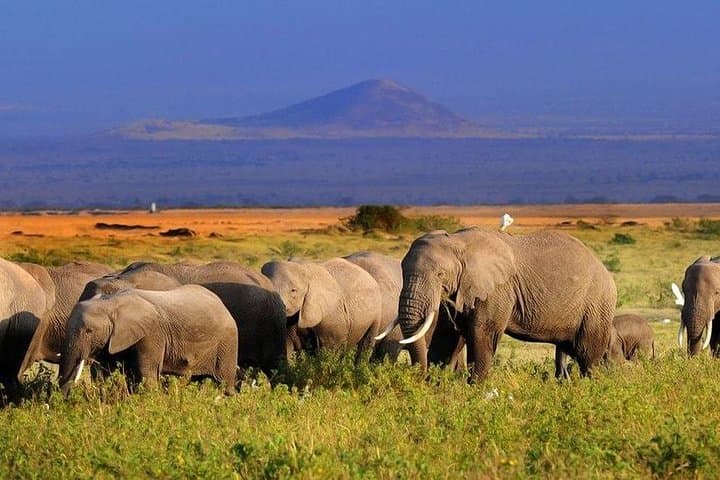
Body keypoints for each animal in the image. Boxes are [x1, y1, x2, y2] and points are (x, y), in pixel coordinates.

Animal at [58, 285, 238, 395]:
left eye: (89, 331)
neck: (111, 302)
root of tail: (223, 305)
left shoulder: (151, 334)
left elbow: (146, 377)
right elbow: (108, 375)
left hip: (227, 343)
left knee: (224, 383)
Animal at [391, 228, 616, 382]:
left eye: (440, 274)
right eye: (402, 271)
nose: (420, 378)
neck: (458, 241)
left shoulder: (497, 290)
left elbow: (482, 333)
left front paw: (475, 390)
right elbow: (449, 336)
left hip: (596, 304)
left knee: (587, 355)